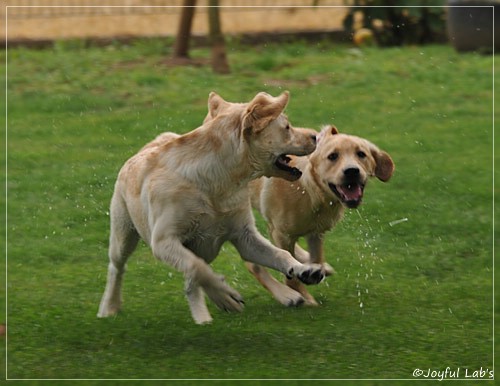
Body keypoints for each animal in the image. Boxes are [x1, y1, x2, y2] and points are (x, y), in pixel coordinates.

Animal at [98, 92, 326, 324]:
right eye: (287, 127)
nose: (315, 136)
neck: (215, 183)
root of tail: (146, 148)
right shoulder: (163, 241)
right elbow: (197, 268)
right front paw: (226, 295)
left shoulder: (245, 237)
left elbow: (281, 254)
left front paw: (304, 270)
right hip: (124, 235)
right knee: (118, 267)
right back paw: (110, 307)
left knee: (193, 280)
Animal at [246, 126, 394, 308]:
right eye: (332, 156)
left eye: (361, 154)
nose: (352, 171)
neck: (310, 191)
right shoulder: (283, 234)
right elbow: (290, 273)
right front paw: (303, 295)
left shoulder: (316, 233)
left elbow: (316, 257)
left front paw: (312, 270)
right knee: (253, 263)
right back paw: (286, 295)